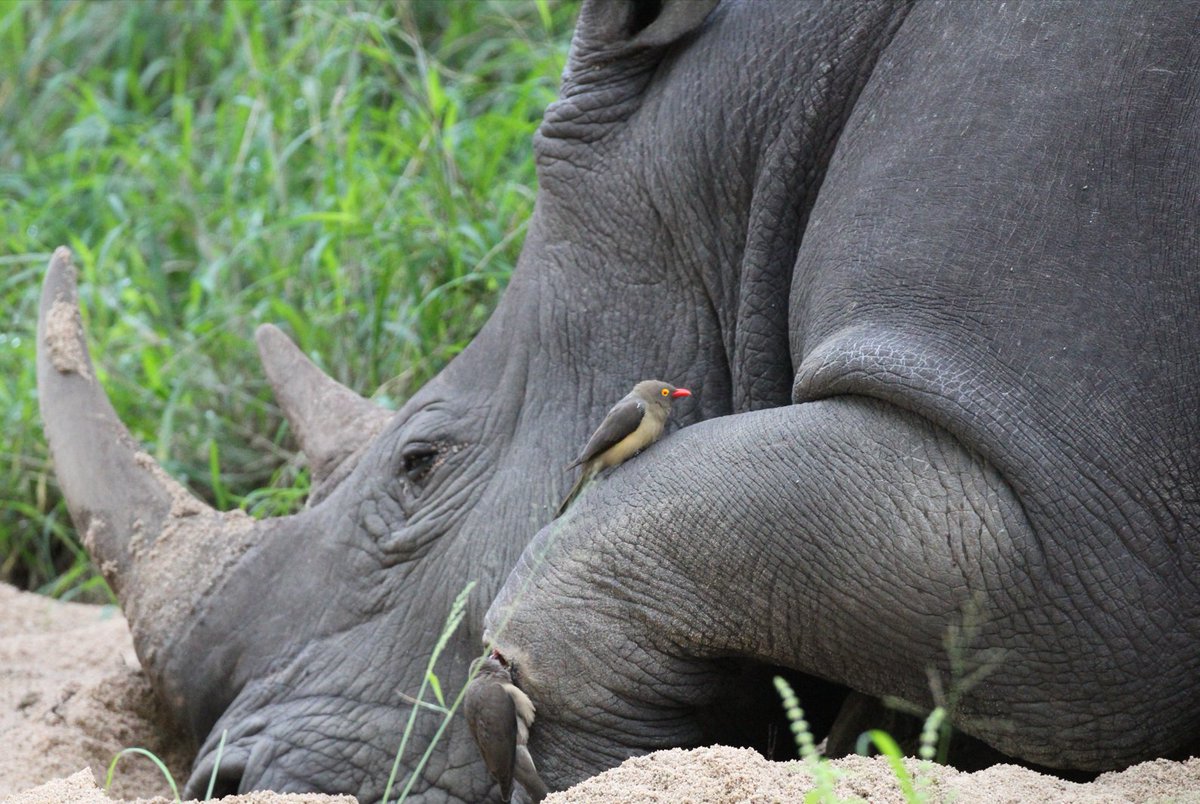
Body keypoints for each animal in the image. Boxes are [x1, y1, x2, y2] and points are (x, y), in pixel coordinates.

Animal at [37, 0, 1200, 801]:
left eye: (419, 464)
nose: (220, 786)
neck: (747, 139)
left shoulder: (1061, 494)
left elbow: (672, 507)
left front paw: (535, 722)